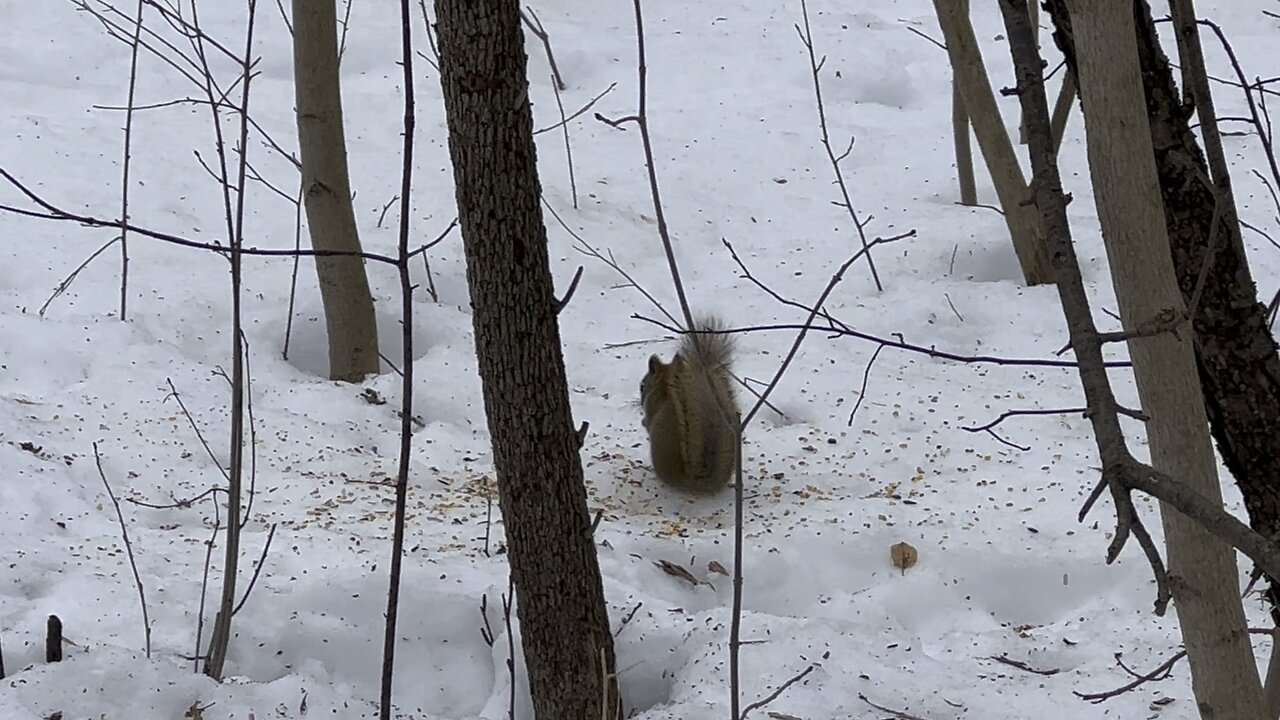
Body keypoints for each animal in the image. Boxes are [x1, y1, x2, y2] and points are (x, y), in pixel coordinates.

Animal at [640, 316, 742, 489]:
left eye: (642, 386)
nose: (639, 402)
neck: (664, 385)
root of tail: (692, 480)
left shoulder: (652, 403)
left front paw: (643, 421)